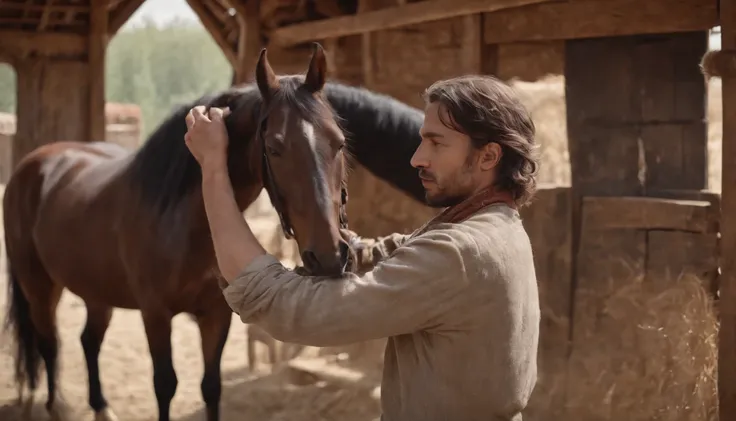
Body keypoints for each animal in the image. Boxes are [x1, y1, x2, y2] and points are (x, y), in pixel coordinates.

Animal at [2, 43, 354, 420]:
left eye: (339, 143)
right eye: (274, 148)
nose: (330, 256)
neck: (187, 223)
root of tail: (33, 163)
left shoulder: (216, 315)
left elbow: (211, 387)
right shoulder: (155, 314)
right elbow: (165, 385)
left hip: (96, 291)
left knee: (88, 341)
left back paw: (101, 407)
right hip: (39, 287)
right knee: (49, 344)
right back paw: (55, 405)